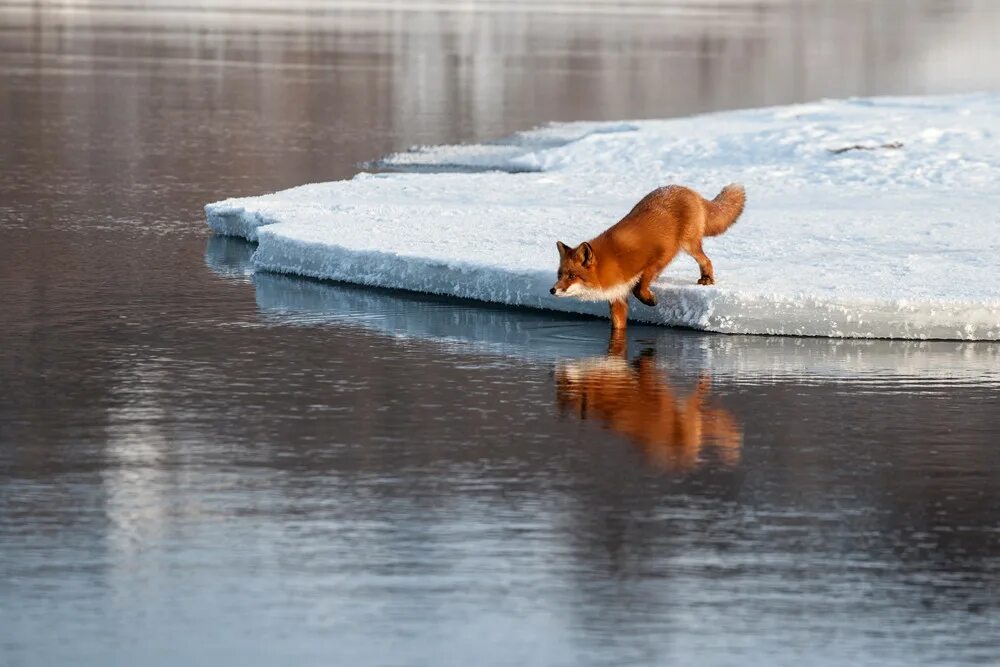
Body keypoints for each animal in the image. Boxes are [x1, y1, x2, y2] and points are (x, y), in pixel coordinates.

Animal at [552, 183, 748, 328]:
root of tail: (686, 189)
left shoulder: (661, 255)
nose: (552, 290)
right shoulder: (617, 298)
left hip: (688, 245)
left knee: (706, 260)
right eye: (559, 275)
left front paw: (650, 299)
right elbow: (618, 327)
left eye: (572, 276)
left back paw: (707, 278)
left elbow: (640, 286)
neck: (614, 260)